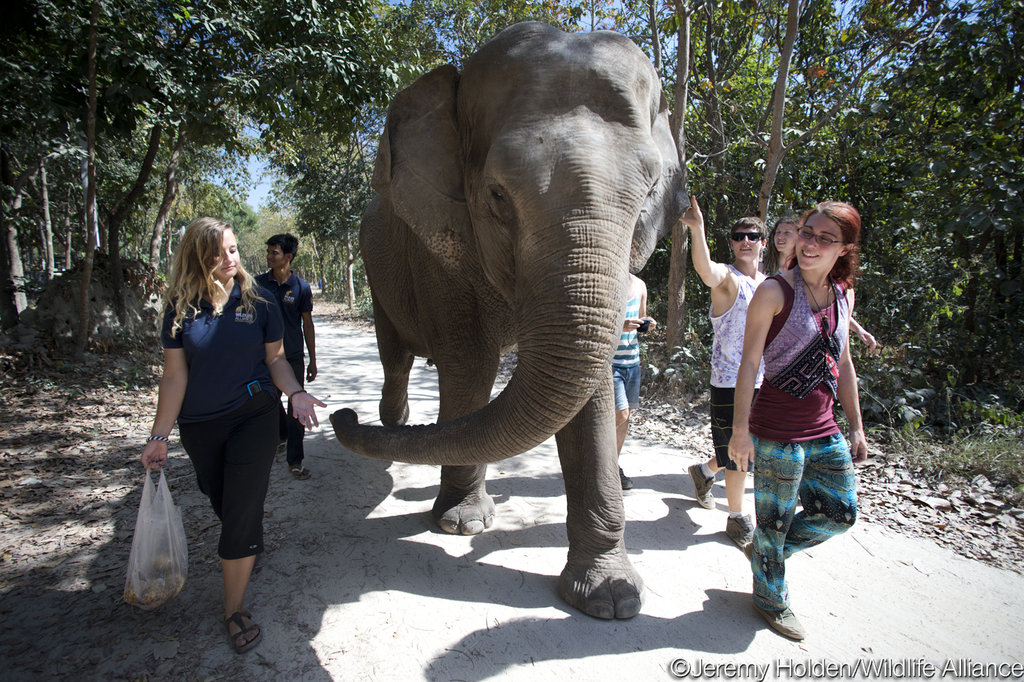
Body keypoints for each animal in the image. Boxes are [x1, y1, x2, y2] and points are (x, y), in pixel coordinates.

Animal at [330, 21, 688, 620]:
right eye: (497, 196)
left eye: (647, 195)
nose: (339, 414)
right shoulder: (437, 245)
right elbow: (470, 364)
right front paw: (461, 525)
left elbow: (590, 391)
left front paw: (611, 597)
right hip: (377, 269)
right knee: (397, 356)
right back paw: (391, 422)